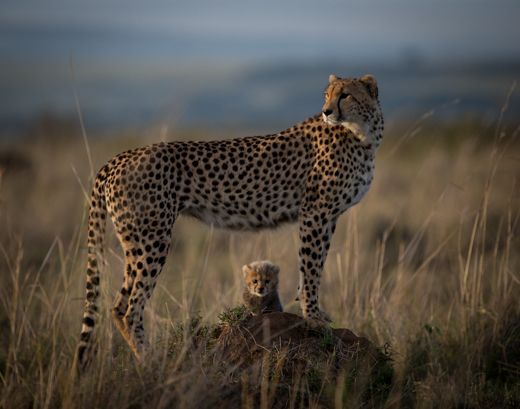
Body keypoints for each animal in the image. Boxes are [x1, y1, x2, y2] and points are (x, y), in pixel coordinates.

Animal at [78, 73, 386, 364]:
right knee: (132, 309)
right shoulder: (315, 212)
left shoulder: (328, 216)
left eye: (345, 95)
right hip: (152, 240)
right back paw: (152, 361)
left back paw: (144, 358)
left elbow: (316, 265)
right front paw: (312, 317)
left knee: (118, 307)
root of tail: (118, 158)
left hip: (135, 242)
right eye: (327, 95)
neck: (363, 135)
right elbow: (310, 268)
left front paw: (315, 311)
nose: (326, 111)